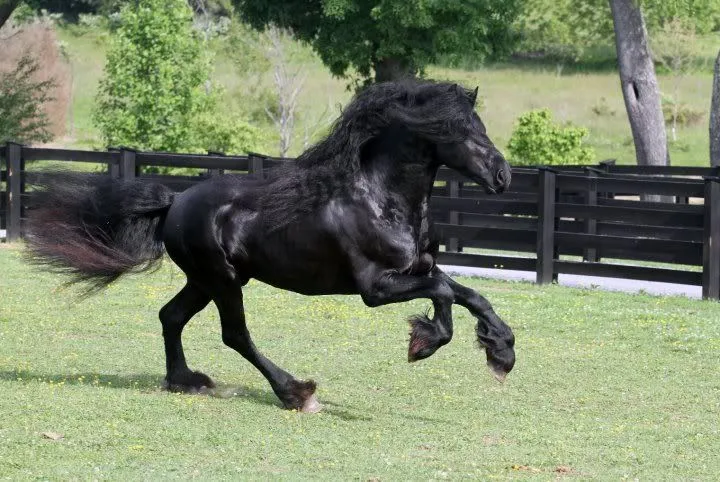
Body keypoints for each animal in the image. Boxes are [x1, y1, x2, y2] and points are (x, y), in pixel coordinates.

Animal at [25, 79, 516, 410]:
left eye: (480, 125)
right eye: (457, 130)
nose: (502, 176)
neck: (381, 200)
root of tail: (175, 201)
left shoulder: (420, 267)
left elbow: (469, 294)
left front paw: (501, 351)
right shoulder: (376, 289)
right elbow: (445, 295)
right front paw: (425, 341)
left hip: (206, 280)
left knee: (171, 317)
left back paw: (186, 380)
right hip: (222, 281)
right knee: (235, 334)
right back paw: (296, 393)